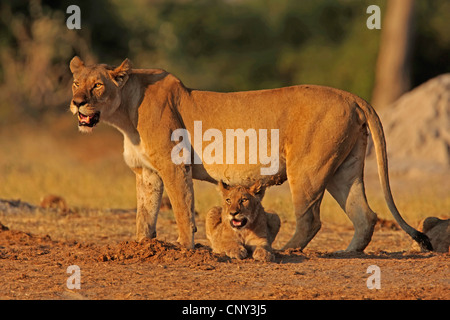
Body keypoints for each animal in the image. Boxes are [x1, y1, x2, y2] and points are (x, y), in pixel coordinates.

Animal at [68, 57, 430, 252]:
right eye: (75, 83)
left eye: (97, 85)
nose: (77, 102)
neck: (124, 117)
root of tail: (352, 96)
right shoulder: (146, 173)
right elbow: (145, 215)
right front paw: (141, 247)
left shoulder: (175, 166)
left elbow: (183, 210)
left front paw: (186, 249)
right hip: (345, 169)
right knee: (364, 215)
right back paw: (346, 254)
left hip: (307, 169)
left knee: (311, 218)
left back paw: (286, 251)